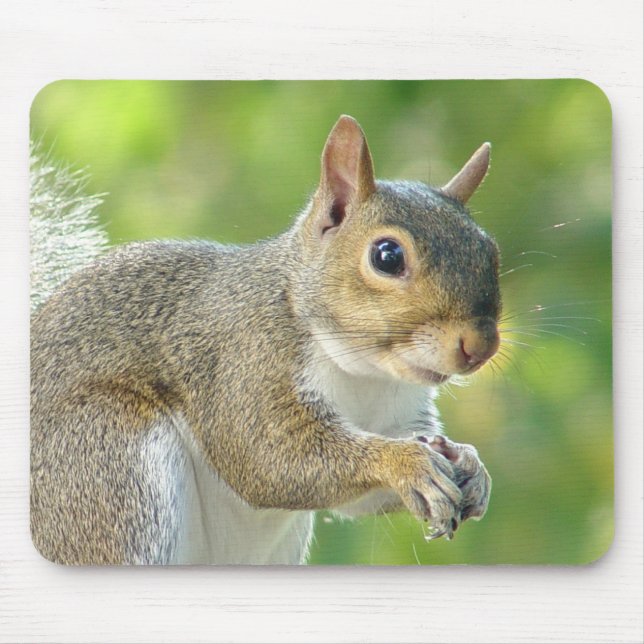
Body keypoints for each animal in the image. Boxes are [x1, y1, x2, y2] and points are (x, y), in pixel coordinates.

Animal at [31, 115, 500, 565]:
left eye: (489, 250)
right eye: (387, 256)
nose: (479, 347)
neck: (362, 373)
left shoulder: (395, 415)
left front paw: (471, 466)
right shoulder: (245, 361)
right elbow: (268, 458)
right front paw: (407, 463)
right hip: (108, 462)